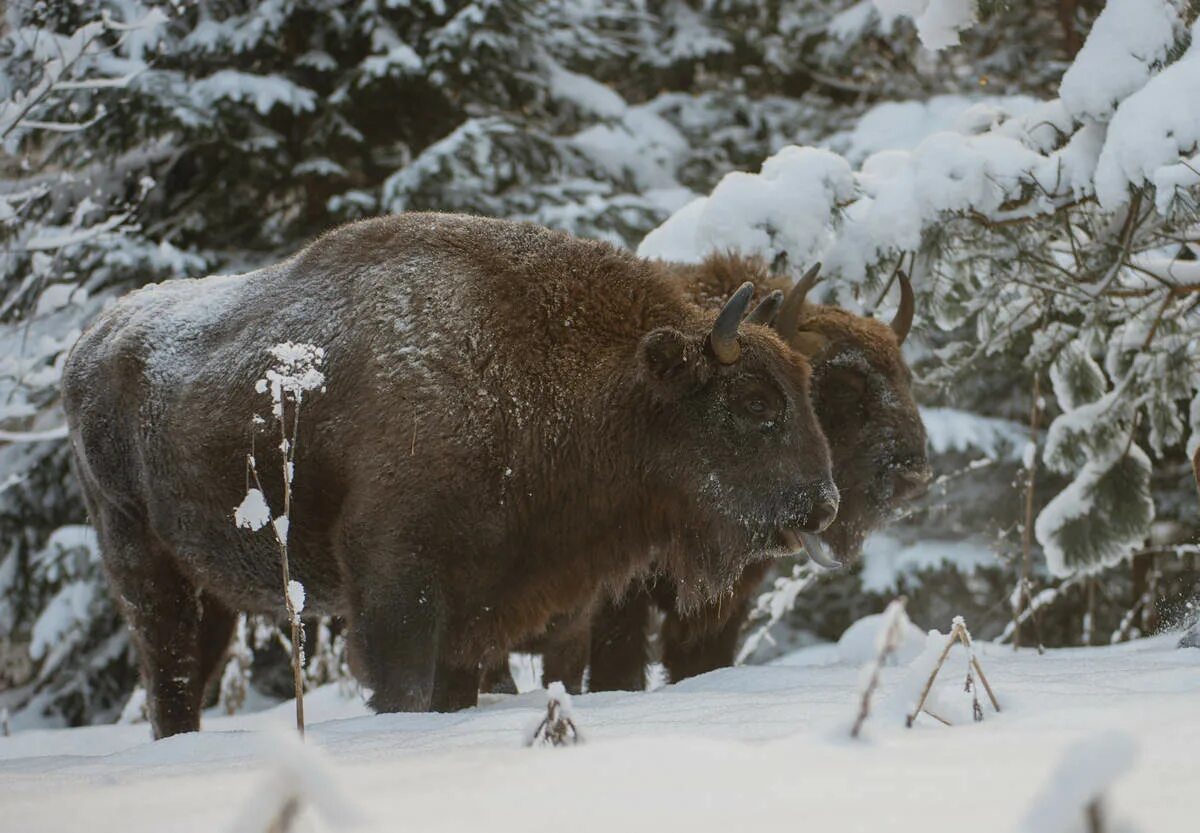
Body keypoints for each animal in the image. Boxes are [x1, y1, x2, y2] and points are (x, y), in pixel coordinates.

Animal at [60, 213, 840, 739]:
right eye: (755, 403)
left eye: (807, 389)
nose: (824, 503)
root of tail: (88, 344)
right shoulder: (398, 594)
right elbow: (402, 688)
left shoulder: (477, 616)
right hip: (144, 565)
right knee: (169, 669)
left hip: (211, 588)